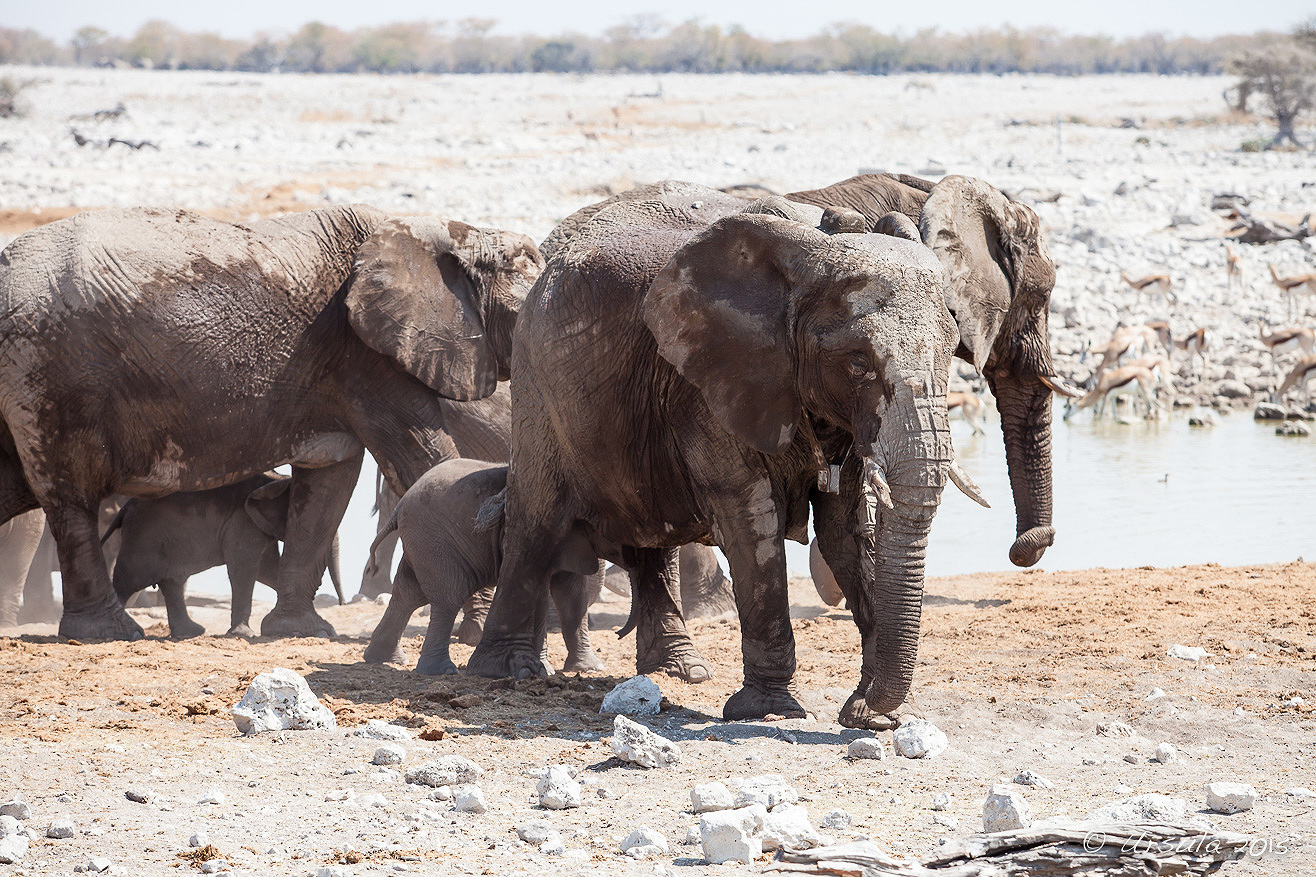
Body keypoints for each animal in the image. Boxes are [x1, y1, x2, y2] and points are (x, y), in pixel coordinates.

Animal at [103, 471, 344, 634]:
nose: (342, 602)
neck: (279, 479)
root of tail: (125, 509)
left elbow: (267, 569)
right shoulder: (242, 521)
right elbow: (245, 568)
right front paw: (243, 634)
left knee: (171, 582)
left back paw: (193, 632)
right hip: (142, 538)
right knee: (128, 581)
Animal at [363, 458, 602, 674]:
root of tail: (400, 505)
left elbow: (572, 594)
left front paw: (588, 669)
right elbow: (543, 593)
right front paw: (544, 669)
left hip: (422, 542)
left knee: (408, 594)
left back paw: (384, 658)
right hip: (434, 540)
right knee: (448, 597)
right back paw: (441, 670)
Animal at [468, 188, 963, 721]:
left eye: (952, 349)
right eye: (857, 362)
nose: (860, 709)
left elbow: (844, 528)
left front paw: (873, 716)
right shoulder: (705, 383)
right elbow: (751, 518)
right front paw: (769, 711)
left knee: (650, 537)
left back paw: (679, 670)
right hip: (536, 385)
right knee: (535, 525)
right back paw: (503, 671)